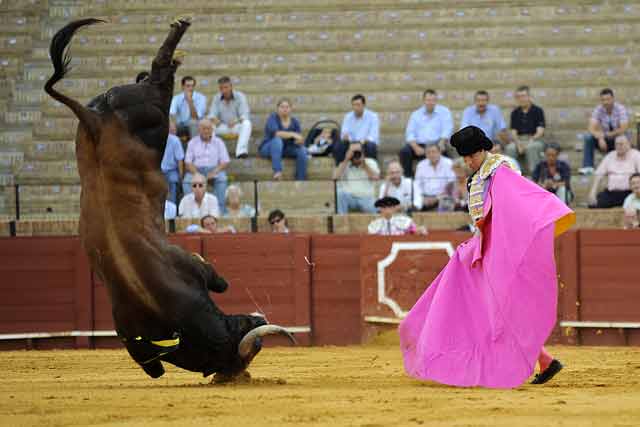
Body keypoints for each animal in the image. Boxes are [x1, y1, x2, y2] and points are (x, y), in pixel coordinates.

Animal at [44, 18, 296, 382]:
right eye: (240, 327)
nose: (260, 317)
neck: (160, 302)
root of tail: (94, 121)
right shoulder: (192, 266)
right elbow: (215, 277)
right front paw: (225, 283)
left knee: (154, 75)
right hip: (155, 112)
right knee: (159, 76)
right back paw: (178, 34)